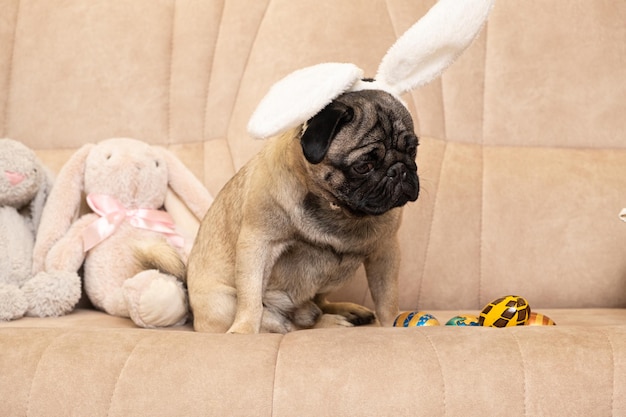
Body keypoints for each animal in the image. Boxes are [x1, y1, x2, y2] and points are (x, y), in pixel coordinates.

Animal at [188, 89, 416, 334]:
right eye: (364, 166)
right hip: (224, 303)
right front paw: (244, 329)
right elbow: (251, 299)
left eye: (413, 150)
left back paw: (345, 311)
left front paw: (393, 324)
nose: (399, 169)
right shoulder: (258, 244)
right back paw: (330, 322)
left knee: (316, 306)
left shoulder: (385, 251)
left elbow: (387, 297)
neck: (336, 208)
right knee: (290, 325)